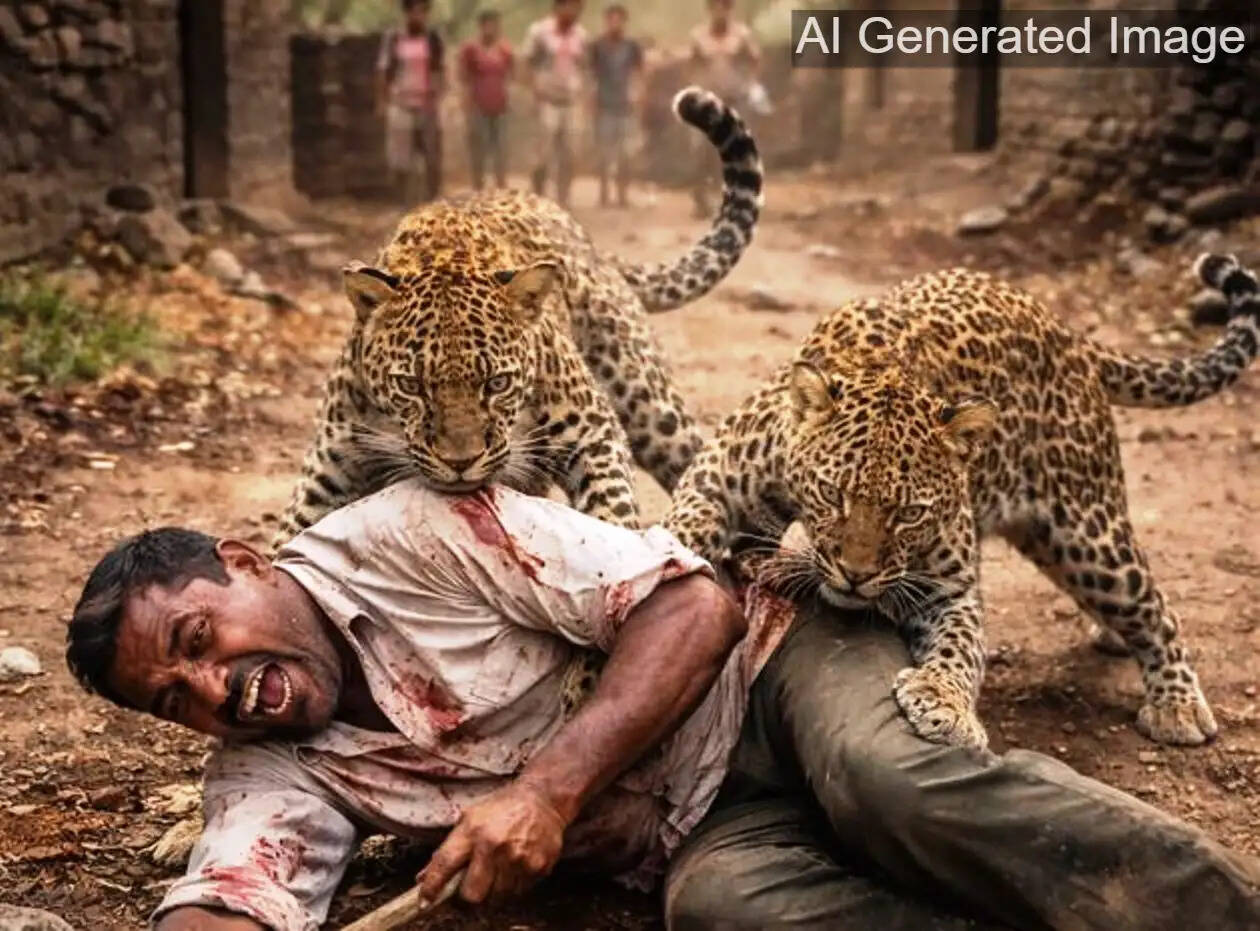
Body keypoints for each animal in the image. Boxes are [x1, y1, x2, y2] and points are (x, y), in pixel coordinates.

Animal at [272, 87, 762, 549]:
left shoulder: (593, 431)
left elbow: (612, 512)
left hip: (653, 411)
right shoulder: (329, 464)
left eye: (497, 384)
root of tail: (589, 243)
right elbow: (285, 543)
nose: (460, 463)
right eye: (411, 386)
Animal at [665, 252, 1260, 751]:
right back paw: (1116, 639)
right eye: (832, 494)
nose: (856, 576)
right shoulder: (716, 474)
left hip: (1087, 532)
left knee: (1156, 607)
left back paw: (1177, 704)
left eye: (909, 514)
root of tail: (1063, 328)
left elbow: (961, 644)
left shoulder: (949, 587)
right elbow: (687, 523)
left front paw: (944, 705)